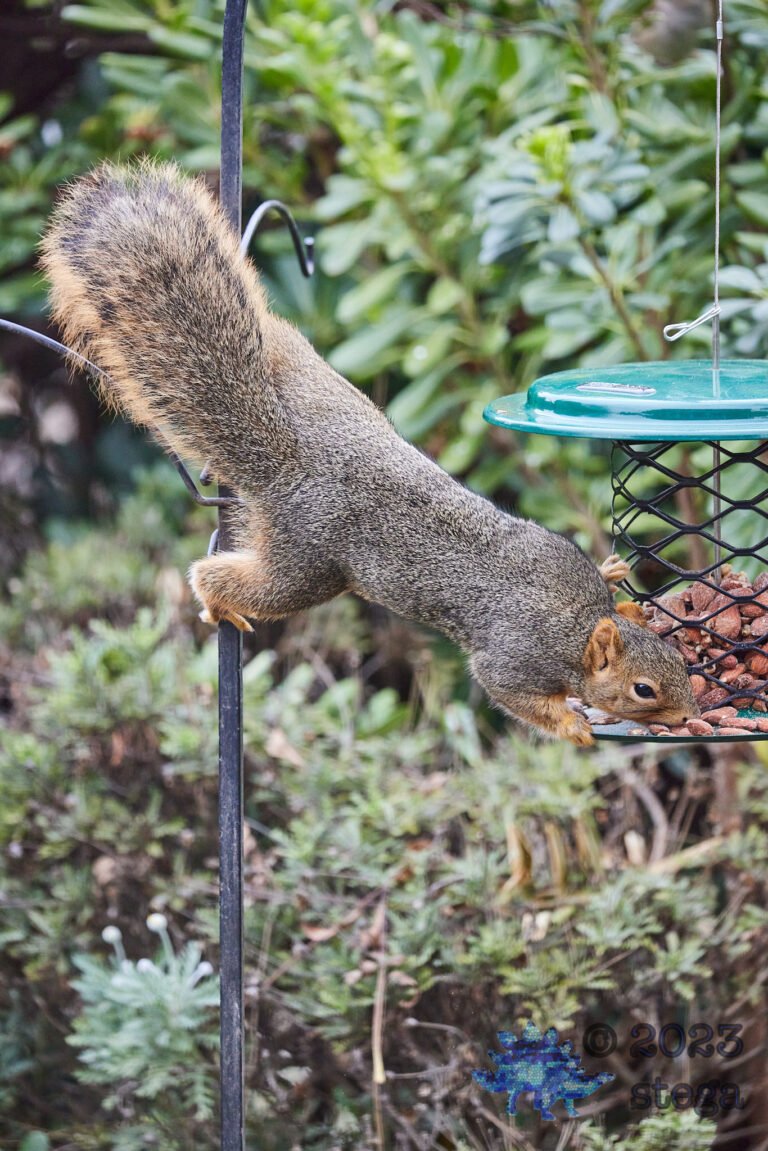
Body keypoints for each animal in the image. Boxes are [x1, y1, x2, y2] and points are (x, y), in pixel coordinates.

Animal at [40, 160, 698, 745]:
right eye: (643, 690)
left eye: (681, 662)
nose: (690, 715)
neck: (578, 622)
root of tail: (292, 461)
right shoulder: (514, 657)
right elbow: (509, 692)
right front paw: (571, 726)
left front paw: (614, 572)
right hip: (306, 566)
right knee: (239, 581)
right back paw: (217, 599)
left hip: (320, 390)